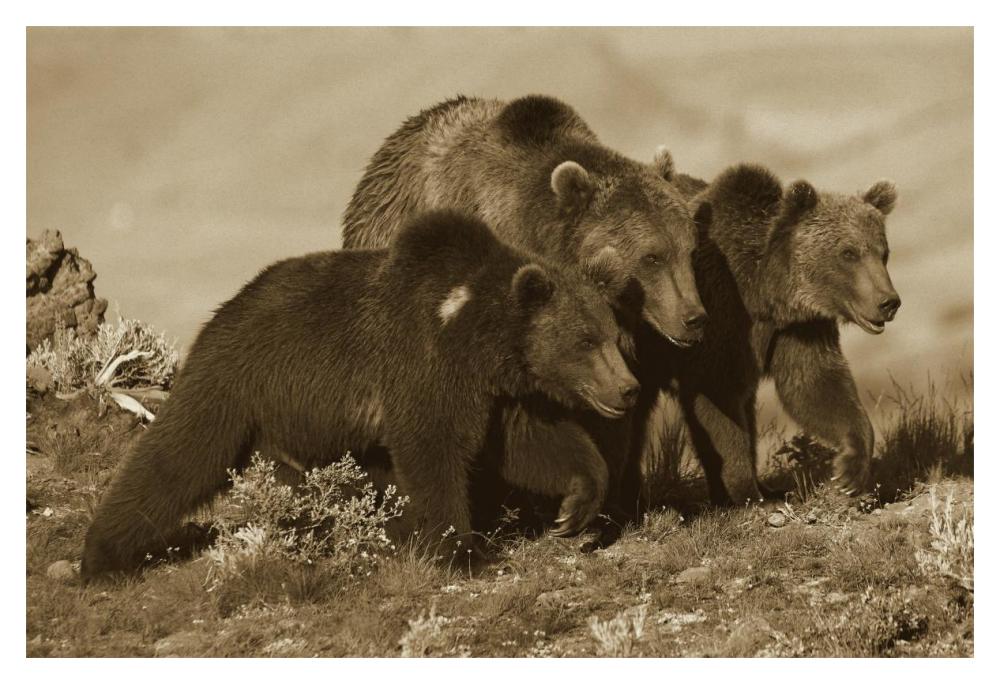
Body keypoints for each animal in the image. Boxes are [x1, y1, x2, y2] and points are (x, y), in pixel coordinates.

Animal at [80, 210, 638, 580]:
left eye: (614, 334)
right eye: (585, 340)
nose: (627, 388)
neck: (478, 336)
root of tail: (221, 312)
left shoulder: (499, 392)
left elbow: (533, 444)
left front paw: (576, 507)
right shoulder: (424, 364)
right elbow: (433, 449)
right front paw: (463, 551)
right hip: (240, 385)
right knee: (182, 454)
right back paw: (101, 555)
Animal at [342, 94, 706, 535]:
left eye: (689, 249)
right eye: (651, 256)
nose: (693, 318)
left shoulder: (619, 343)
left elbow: (618, 417)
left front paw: (612, 505)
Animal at [631, 163, 901, 506]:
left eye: (883, 252)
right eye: (848, 253)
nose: (888, 302)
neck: (764, 293)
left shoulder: (797, 329)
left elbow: (814, 385)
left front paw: (849, 469)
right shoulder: (718, 318)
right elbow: (717, 403)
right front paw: (745, 494)